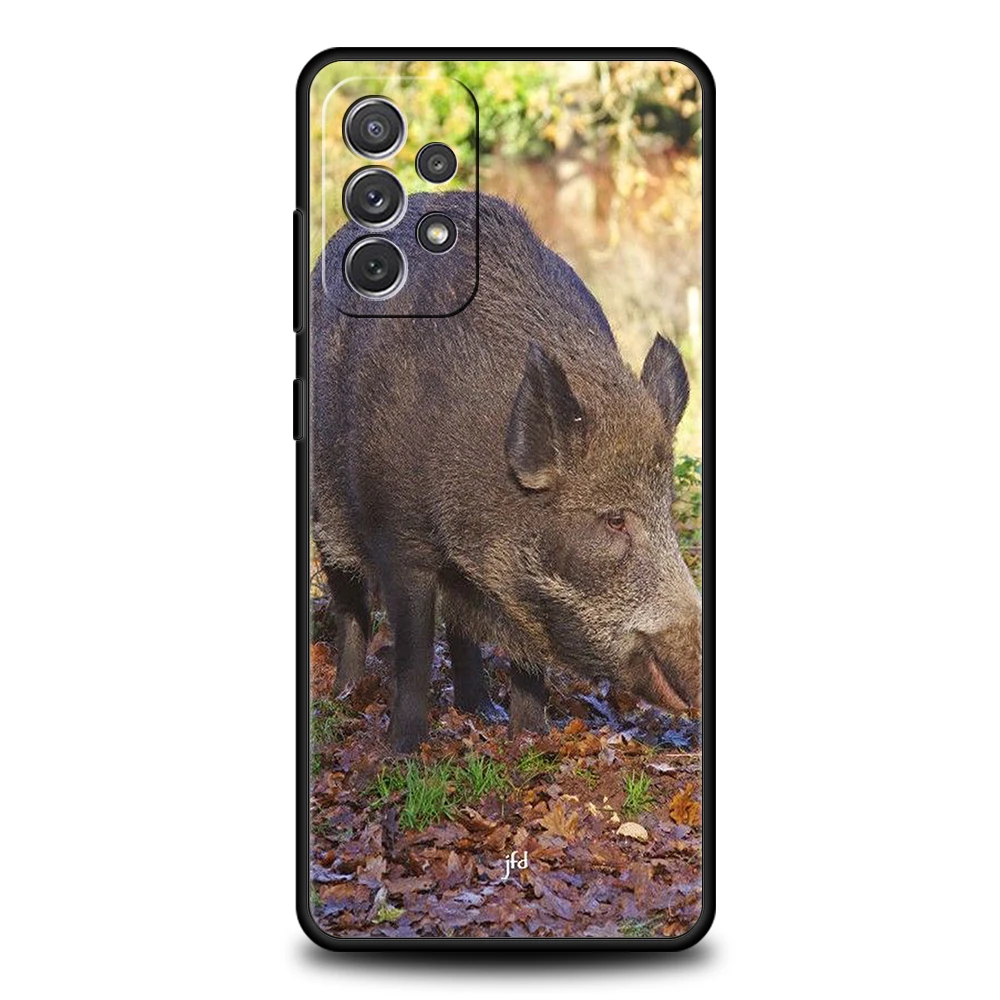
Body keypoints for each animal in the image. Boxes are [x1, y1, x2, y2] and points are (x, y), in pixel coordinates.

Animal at [311, 192, 701, 752]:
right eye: (613, 519)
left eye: (668, 511)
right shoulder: (401, 537)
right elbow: (414, 650)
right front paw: (404, 751)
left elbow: (525, 657)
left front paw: (530, 737)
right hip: (326, 516)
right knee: (351, 605)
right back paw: (342, 695)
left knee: (463, 626)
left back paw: (482, 710)